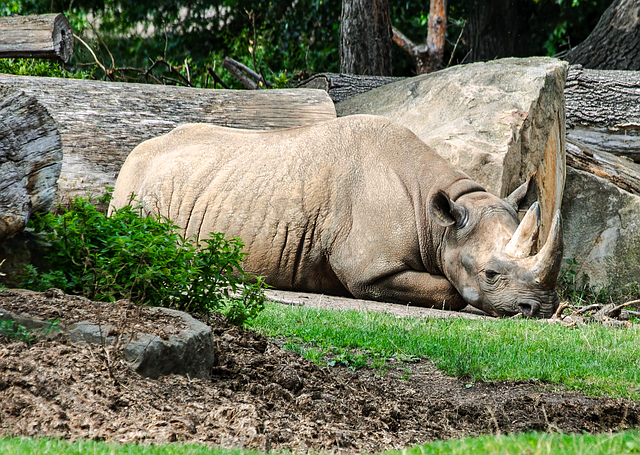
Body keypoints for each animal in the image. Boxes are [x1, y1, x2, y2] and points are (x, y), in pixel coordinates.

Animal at [110, 114, 563, 318]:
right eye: (490, 275)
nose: (541, 309)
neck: (441, 220)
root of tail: (136, 151)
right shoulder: (369, 270)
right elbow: (451, 291)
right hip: (134, 184)